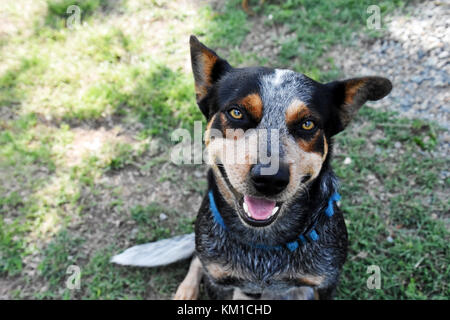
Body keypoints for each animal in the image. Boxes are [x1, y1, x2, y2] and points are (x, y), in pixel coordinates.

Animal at [111, 36, 390, 298]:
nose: (270, 179)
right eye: (236, 112)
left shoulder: (325, 282)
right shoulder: (218, 282)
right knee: (196, 259)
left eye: (308, 124)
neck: (263, 248)